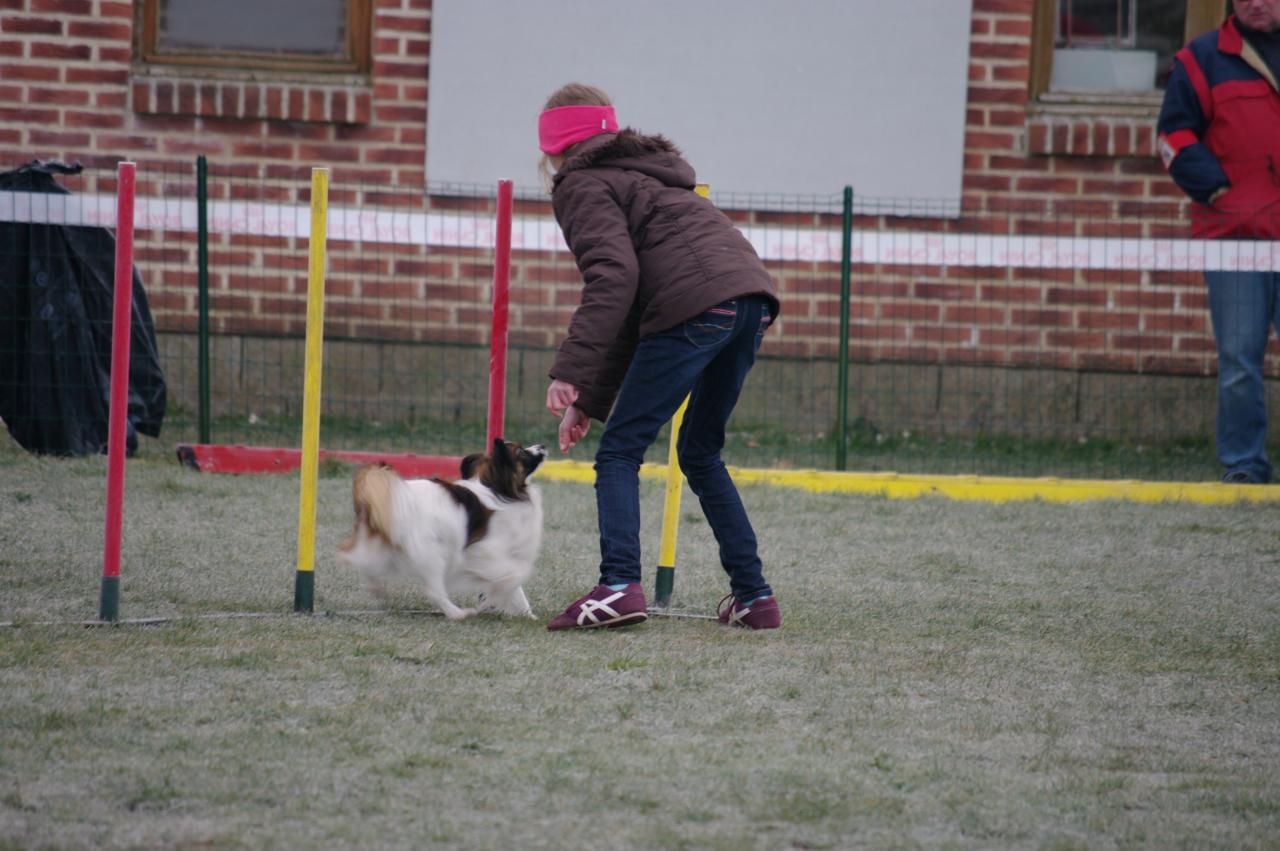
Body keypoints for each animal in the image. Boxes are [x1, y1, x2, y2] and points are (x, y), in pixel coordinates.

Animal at [337, 437, 542, 616]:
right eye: (521, 452)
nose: (542, 446)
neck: (498, 490)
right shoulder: (484, 550)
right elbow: (517, 573)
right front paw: (496, 596)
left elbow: (516, 588)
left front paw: (527, 615)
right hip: (434, 554)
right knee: (434, 591)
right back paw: (458, 614)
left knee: (361, 562)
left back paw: (376, 588)